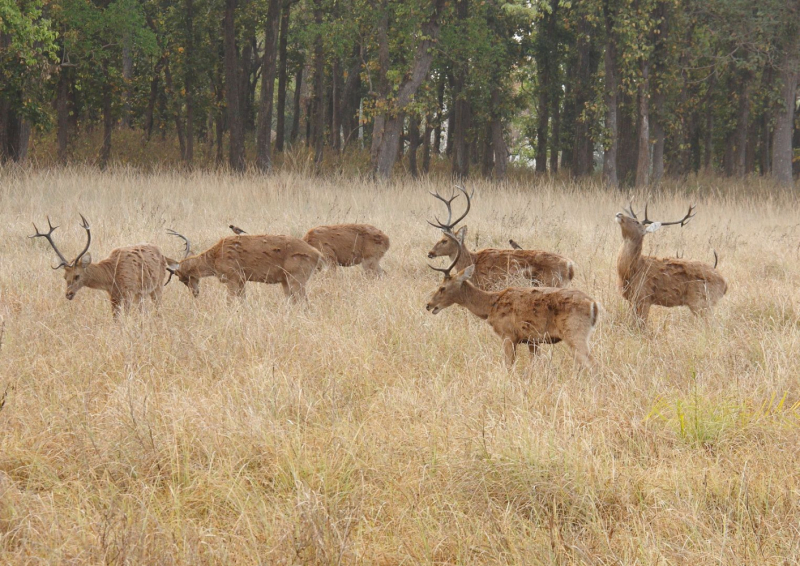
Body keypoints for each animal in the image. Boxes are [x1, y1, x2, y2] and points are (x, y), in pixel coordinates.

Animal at [30, 215, 168, 318]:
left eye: (77, 275)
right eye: (64, 276)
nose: (68, 294)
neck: (112, 275)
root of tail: (162, 254)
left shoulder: (128, 290)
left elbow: (126, 316)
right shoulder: (114, 296)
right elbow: (116, 319)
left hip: (158, 286)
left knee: (158, 309)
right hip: (140, 295)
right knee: (145, 312)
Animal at [165, 230, 322, 302]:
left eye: (181, 278)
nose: (195, 293)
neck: (214, 258)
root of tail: (317, 253)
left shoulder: (233, 277)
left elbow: (229, 301)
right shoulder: (242, 280)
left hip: (296, 277)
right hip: (286, 280)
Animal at [424, 189, 576, 290]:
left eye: (444, 240)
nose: (430, 253)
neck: (473, 262)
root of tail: (570, 266)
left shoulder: (488, 284)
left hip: (550, 283)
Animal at [424, 243, 600, 368]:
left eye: (442, 287)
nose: (429, 305)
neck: (490, 305)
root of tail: (593, 305)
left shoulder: (508, 335)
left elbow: (508, 366)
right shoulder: (532, 340)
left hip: (575, 333)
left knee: (592, 364)